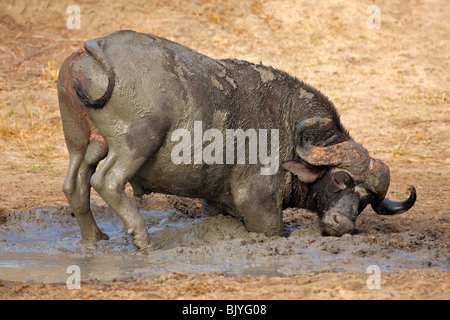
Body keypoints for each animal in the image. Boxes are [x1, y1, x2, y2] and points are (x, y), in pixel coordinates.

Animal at [58, 30, 416, 250]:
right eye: (341, 179)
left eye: (366, 200)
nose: (343, 224)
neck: (288, 127)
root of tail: (100, 45)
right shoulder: (258, 203)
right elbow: (272, 227)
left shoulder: (215, 202)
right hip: (137, 140)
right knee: (107, 180)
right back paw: (144, 240)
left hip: (80, 141)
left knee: (75, 182)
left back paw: (96, 237)